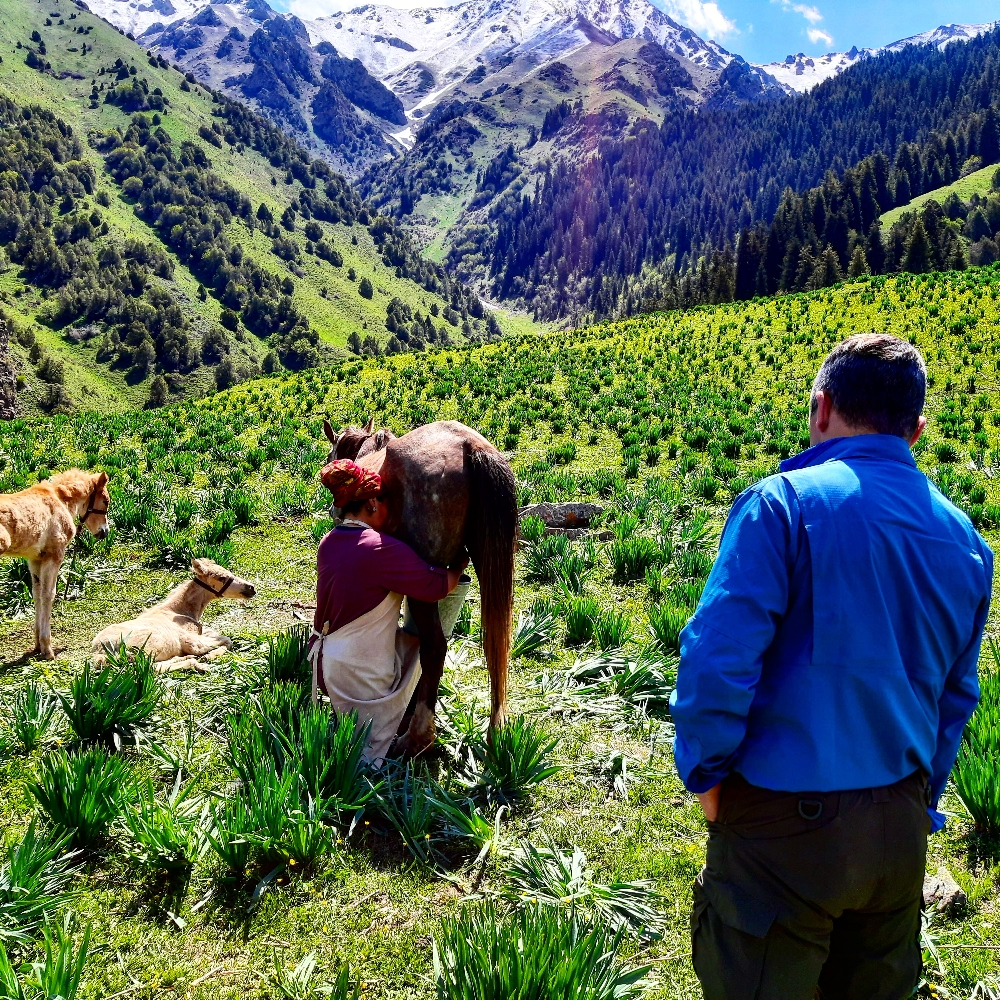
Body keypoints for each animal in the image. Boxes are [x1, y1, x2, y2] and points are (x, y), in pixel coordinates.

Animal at [0, 470, 110, 660]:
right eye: (105, 501)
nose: (104, 532)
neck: (60, 500)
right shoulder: (54, 555)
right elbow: (48, 595)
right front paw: (47, 648)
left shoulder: (35, 559)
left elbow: (37, 594)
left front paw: (37, 644)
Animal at [90, 556, 256, 672]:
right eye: (221, 577)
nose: (251, 588)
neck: (178, 611)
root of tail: (100, 652)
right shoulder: (192, 641)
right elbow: (226, 641)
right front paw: (207, 657)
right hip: (147, 648)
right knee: (151, 667)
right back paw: (195, 663)